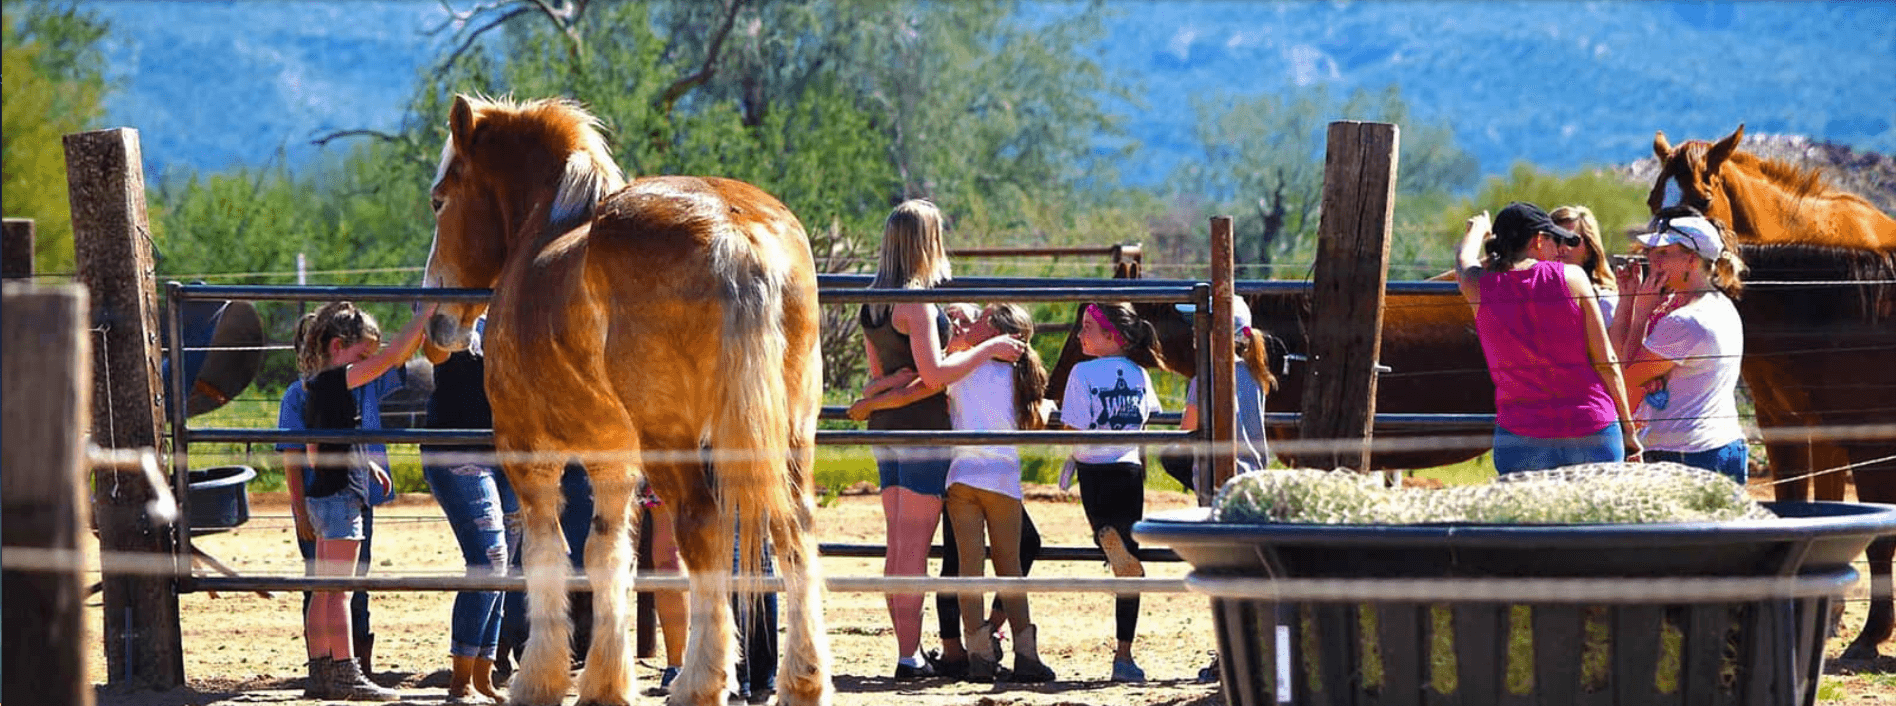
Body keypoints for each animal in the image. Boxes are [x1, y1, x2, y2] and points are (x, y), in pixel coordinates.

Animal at [422, 95, 830, 706]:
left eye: (439, 200)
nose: (437, 325)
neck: (547, 228)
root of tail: (736, 233)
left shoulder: (527, 452)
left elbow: (547, 556)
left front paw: (540, 678)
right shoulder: (612, 459)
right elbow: (605, 554)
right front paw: (606, 682)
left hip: (675, 443)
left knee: (703, 528)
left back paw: (699, 681)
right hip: (790, 435)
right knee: (795, 530)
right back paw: (803, 679)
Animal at [1645, 124, 1896, 660]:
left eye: (1703, 197)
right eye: (1655, 198)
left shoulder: (1858, 429)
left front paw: (1867, 634)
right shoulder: (1783, 420)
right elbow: (1799, 503)